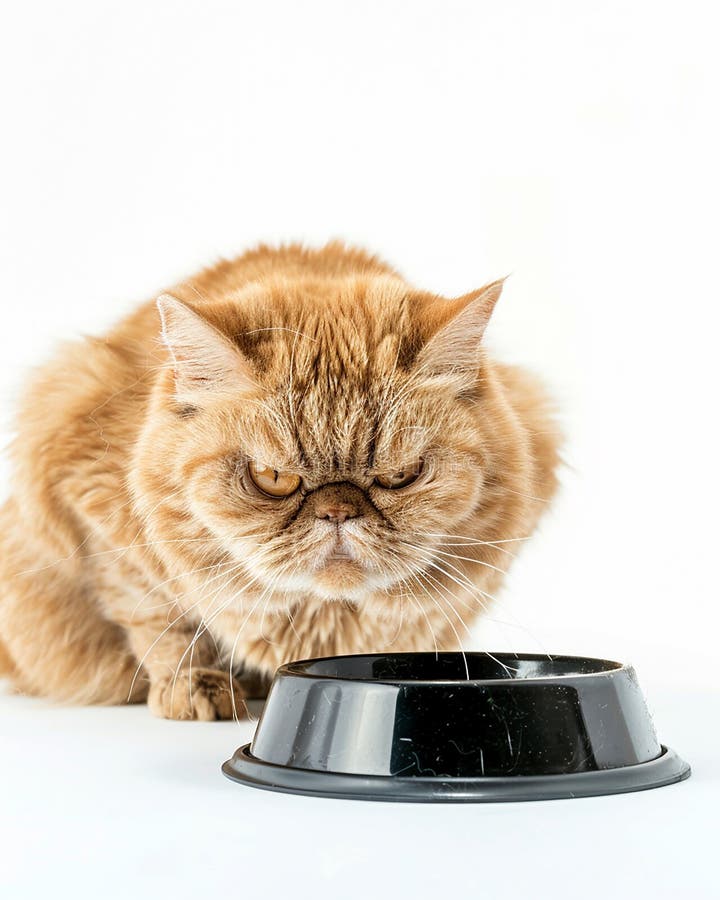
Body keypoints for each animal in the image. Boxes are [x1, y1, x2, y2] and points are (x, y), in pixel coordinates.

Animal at [0, 243, 564, 720]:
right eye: (272, 477)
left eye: (400, 475)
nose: (338, 511)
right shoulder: (93, 503)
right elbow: (163, 621)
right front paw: (194, 685)